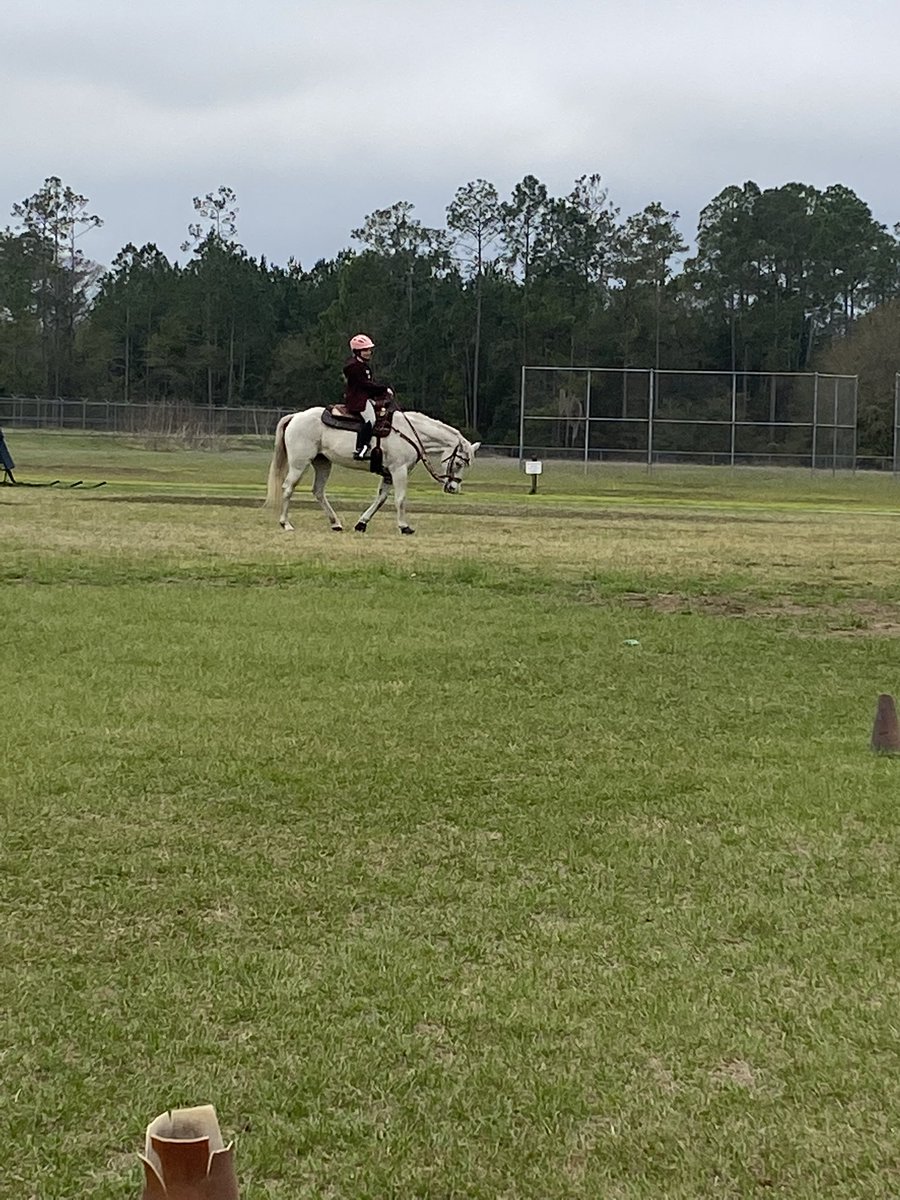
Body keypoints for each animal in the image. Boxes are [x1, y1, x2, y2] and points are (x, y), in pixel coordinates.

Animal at [265, 406, 480, 535]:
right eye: (459, 463)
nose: (453, 488)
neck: (410, 433)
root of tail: (296, 416)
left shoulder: (388, 474)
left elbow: (381, 499)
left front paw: (362, 523)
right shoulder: (399, 470)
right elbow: (400, 499)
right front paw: (404, 526)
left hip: (323, 463)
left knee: (318, 491)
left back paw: (335, 523)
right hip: (299, 463)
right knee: (288, 488)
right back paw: (285, 523)